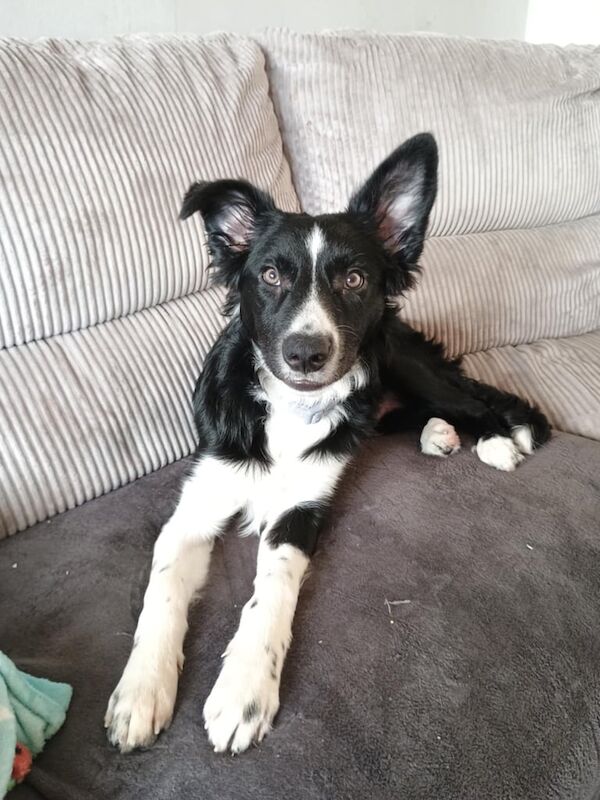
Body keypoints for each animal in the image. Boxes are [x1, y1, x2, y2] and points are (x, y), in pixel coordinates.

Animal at [106, 133, 548, 756]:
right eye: (270, 275)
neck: (291, 410)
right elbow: (162, 590)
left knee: (471, 402)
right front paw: (141, 692)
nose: (305, 354)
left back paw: (495, 441)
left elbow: (271, 591)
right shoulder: (199, 500)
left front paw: (244, 691)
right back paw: (437, 435)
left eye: (355, 280)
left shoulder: (300, 510)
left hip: (401, 359)